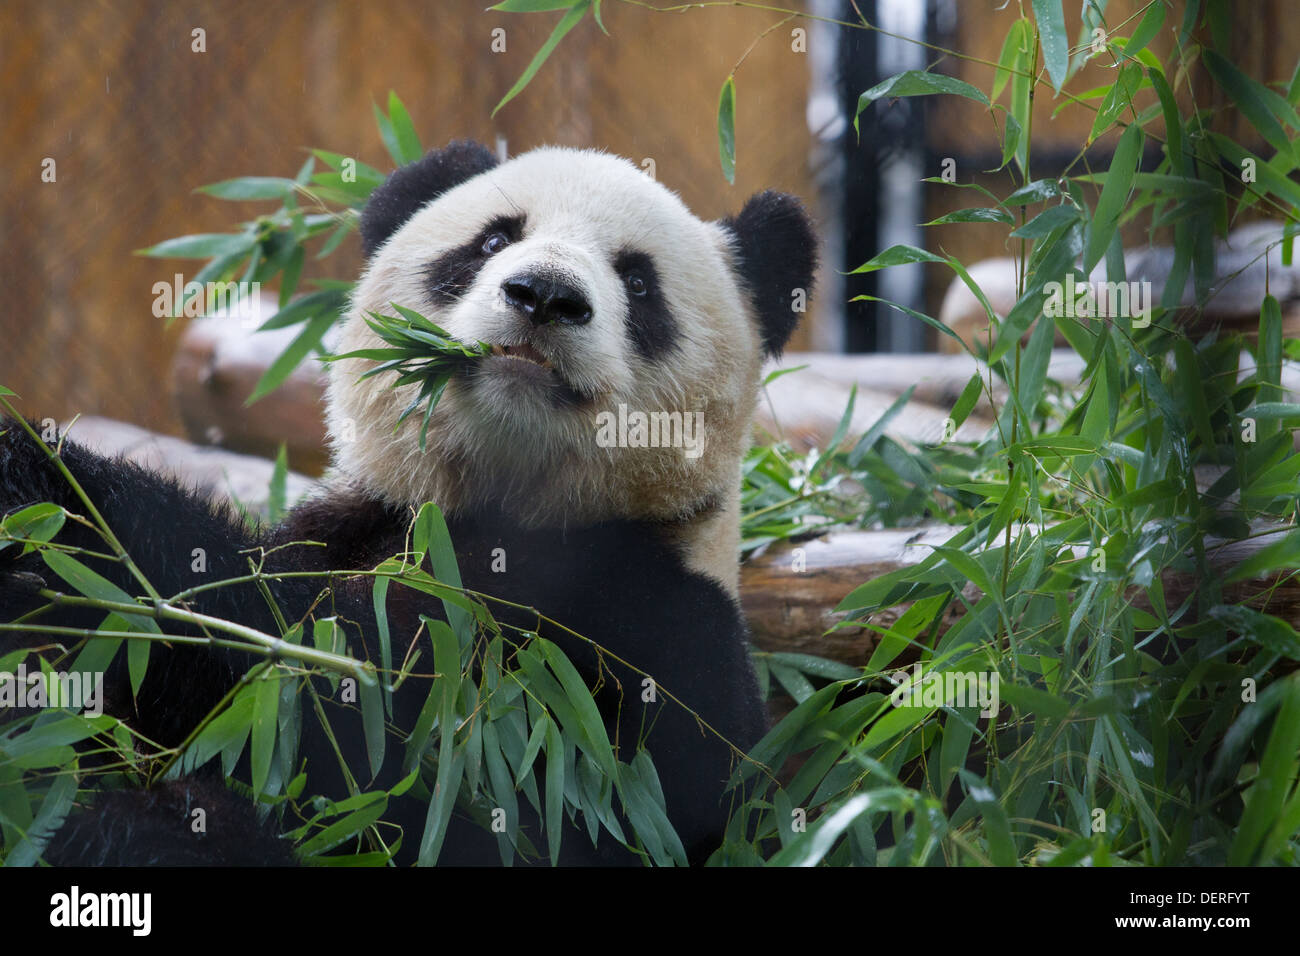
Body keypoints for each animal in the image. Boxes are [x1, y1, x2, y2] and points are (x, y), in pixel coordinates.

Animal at [0, 140, 811, 868]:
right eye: (493, 240)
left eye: (639, 284)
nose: (544, 295)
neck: (500, 507)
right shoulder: (349, 527)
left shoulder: (635, 627)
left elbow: (346, 719)